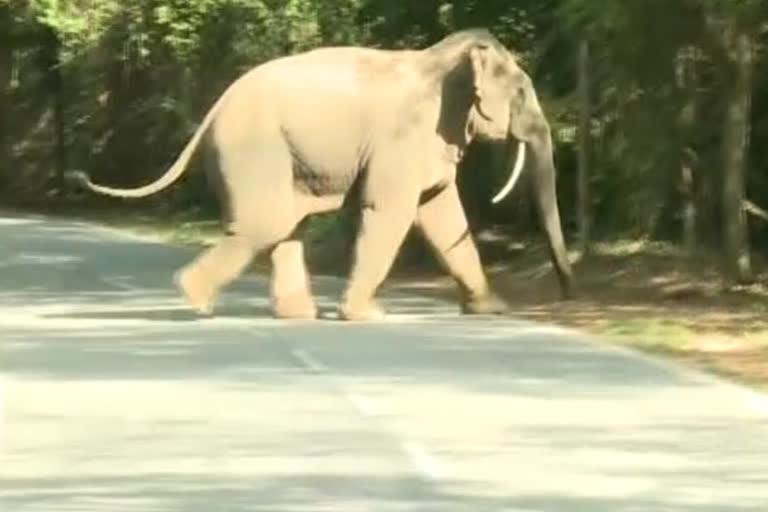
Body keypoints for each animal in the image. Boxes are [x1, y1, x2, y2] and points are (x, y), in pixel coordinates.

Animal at [72, 28, 572, 320]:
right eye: (522, 92)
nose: (566, 295)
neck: (442, 60)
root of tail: (214, 109)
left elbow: (442, 214)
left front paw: (491, 310)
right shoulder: (403, 139)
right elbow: (391, 212)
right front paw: (367, 317)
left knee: (283, 226)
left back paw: (295, 316)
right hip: (255, 149)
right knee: (265, 224)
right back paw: (194, 301)